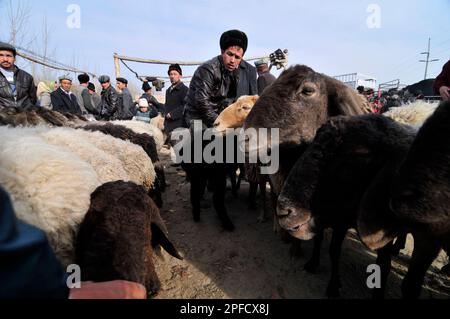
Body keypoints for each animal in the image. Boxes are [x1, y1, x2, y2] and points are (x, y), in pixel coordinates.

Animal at [276, 114, 416, 298]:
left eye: (357, 158)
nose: (283, 210)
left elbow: (384, 265)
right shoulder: (335, 220)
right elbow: (332, 249)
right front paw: (316, 267)